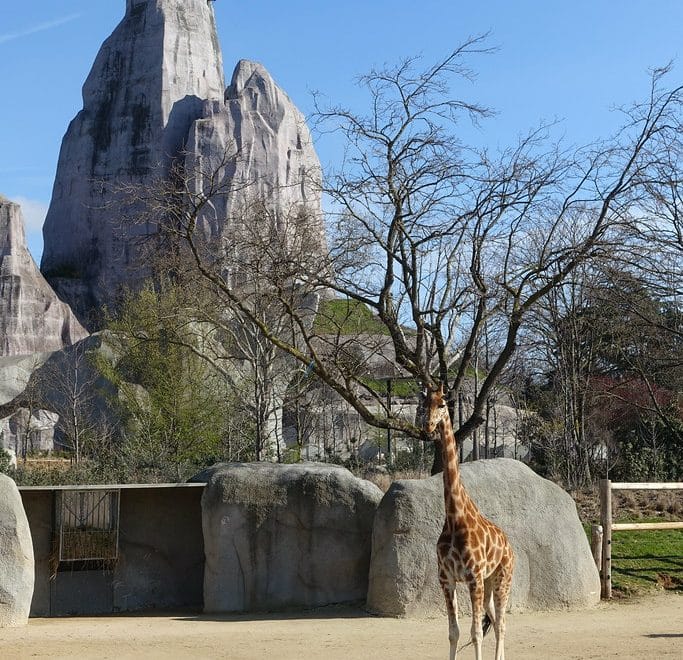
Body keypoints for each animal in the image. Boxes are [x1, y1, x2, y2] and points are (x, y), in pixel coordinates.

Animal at [424, 382, 516, 660]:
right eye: (425, 404)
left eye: (442, 404)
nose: (428, 427)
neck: (455, 518)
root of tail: (510, 547)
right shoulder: (447, 579)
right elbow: (453, 632)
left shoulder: (473, 577)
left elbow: (475, 633)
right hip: (488, 583)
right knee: (495, 621)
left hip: (502, 579)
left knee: (502, 623)